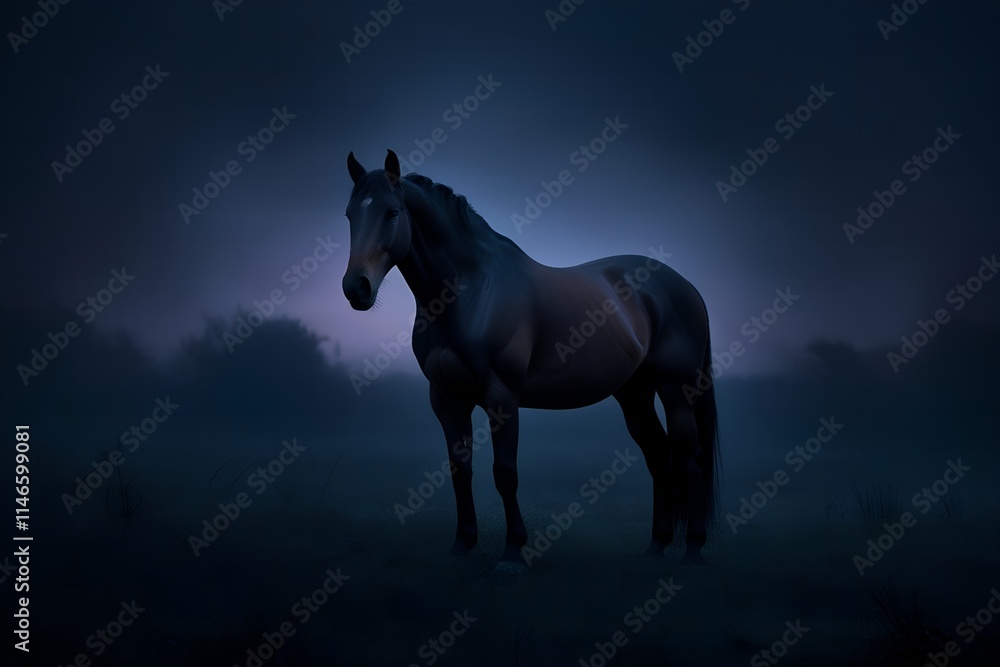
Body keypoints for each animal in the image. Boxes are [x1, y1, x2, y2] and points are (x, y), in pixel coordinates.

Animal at [342, 149, 720, 566]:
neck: (469, 291)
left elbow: (505, 472)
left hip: (677, 390)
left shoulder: (502, 397)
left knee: (691, 461)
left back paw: (694, 551)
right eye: (349, 215)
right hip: (635, 393)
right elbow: (460, 470)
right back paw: (655, 547)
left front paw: (513, 553)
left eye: (392, 212)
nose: (356, 289)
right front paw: (462, 545)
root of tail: (686, 286)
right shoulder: (446, 399)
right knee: (659, 456)